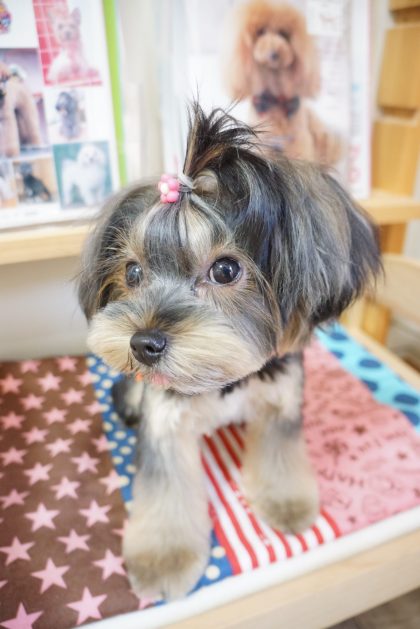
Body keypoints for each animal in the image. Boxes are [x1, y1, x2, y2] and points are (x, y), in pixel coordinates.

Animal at [78, 105, 380, 600]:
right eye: (133, 272)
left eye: (225, 270)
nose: (142, 345)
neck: (222, 381)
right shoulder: (164, 419)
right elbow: (166, 488)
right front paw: (164, 558)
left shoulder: (281, 399)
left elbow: (279, 452)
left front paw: (287, 504)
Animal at [224, 0, 341, 165]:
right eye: (260, 32)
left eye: (283, 34)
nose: (274, 54)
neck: (275, 98)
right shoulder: (262, 142)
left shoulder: (297, 141)